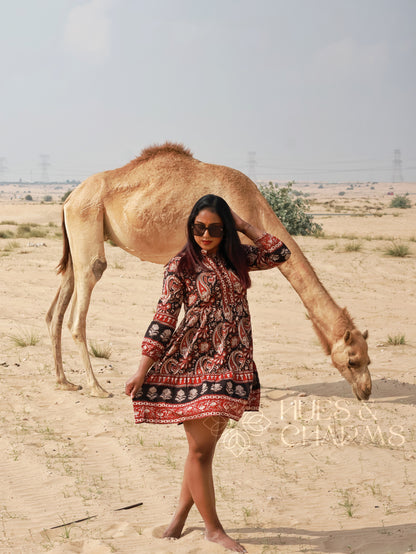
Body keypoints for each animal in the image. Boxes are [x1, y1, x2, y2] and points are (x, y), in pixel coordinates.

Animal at [45, 141, 370, 402]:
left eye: (369, 358)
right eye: (353, 360)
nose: (366, 391)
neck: (251, 204)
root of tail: (69, 199)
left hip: (78, 236)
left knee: (56, 309)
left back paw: (64, 382)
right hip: (87, 221)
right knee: (82, 301)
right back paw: (96, 387)